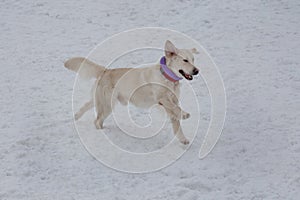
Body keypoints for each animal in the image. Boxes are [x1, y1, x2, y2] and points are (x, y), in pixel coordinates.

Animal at [64, 40, 199, 144]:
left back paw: (76, 116)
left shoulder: (170, 102)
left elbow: (176, 120)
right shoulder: (162, 99)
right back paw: (103, 133)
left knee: (87, 107)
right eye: (185, 60)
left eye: (193, 59)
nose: (197, 71)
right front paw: (185, 114)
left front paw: (183, 139)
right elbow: (176, 108)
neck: (167, 78)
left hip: (100, 100)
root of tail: (106, 70)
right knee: (97, 120)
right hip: (107, 104)